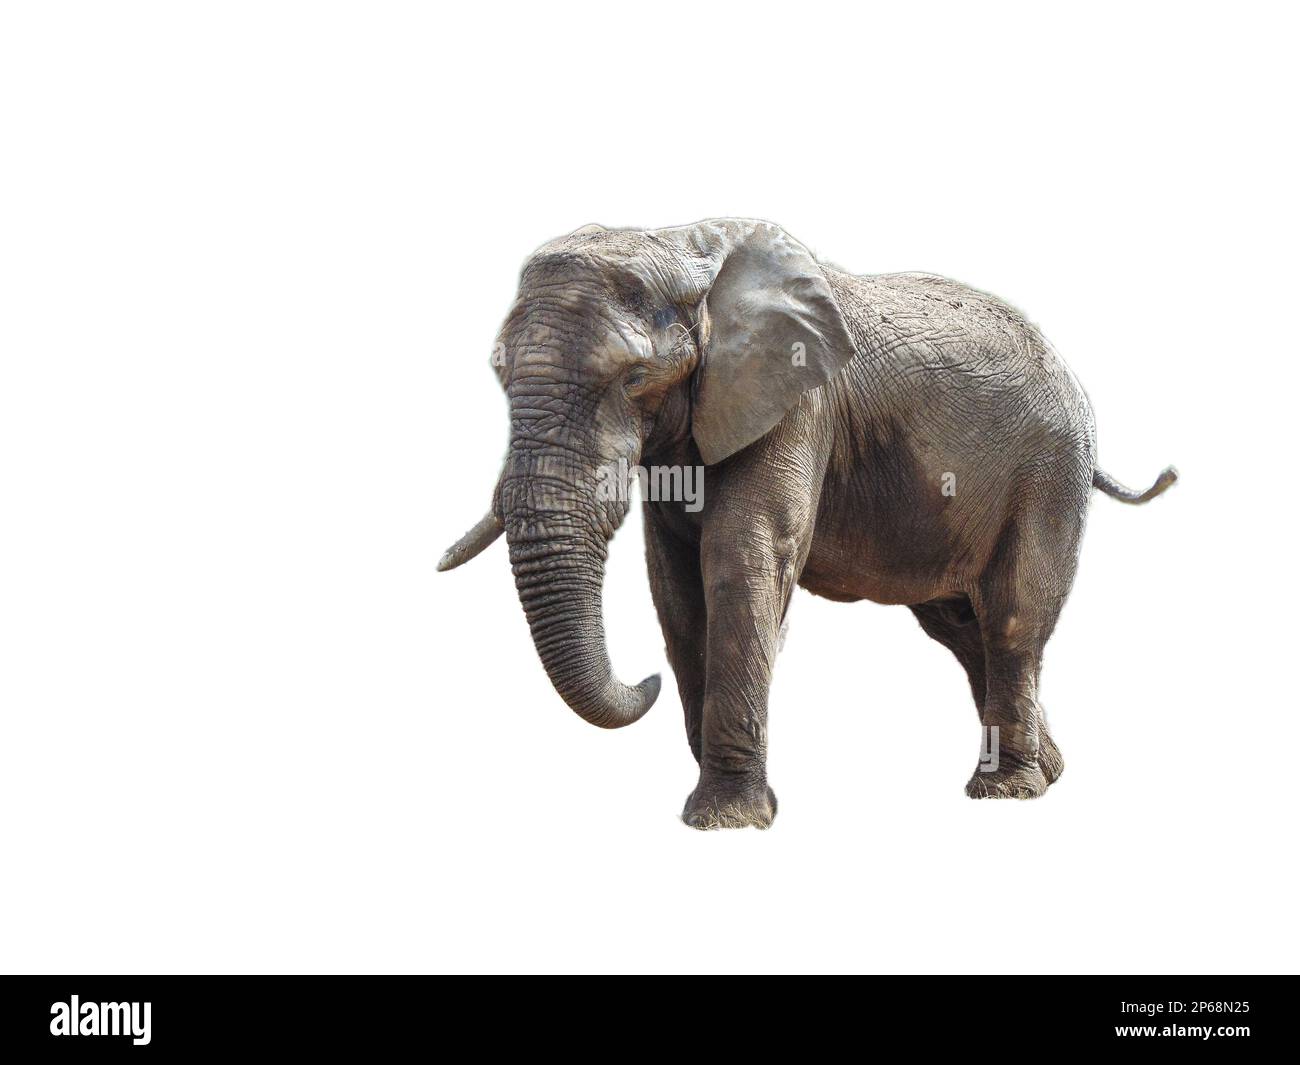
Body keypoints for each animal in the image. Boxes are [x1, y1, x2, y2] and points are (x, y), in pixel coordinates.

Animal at [438, 219, 1176, 829]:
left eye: (635, 377)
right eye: (498, 372)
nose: (642, 680)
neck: (681, 245)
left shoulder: (796, 401)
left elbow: (742, 557)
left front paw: (726, 822)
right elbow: (674, 585)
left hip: (1049, 469)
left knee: (1012, 619)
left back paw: (1008, 792)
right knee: (962, 631)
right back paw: (1049, 772)